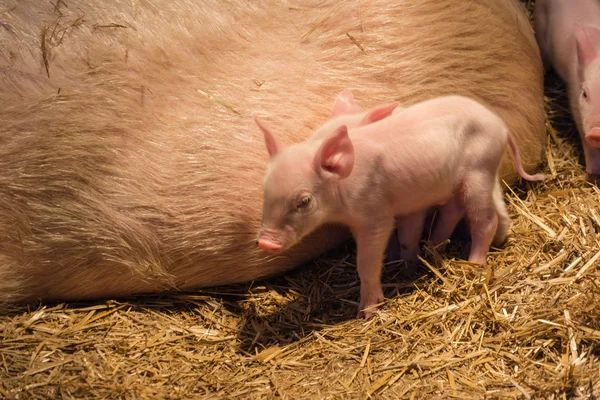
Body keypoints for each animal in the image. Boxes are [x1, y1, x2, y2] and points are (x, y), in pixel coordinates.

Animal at [255, 97, 548, 318]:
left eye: (304, 201)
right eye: (265, 190)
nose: (265, 243)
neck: (343, 191)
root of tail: (501, 126)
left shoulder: (375, 214)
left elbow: (367, 261)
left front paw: (367, 313)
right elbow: (404, 236)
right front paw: (404, 265)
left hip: (479, 172)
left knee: (484, 221)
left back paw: (474, 263)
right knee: (453, 212)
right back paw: (435, 247)